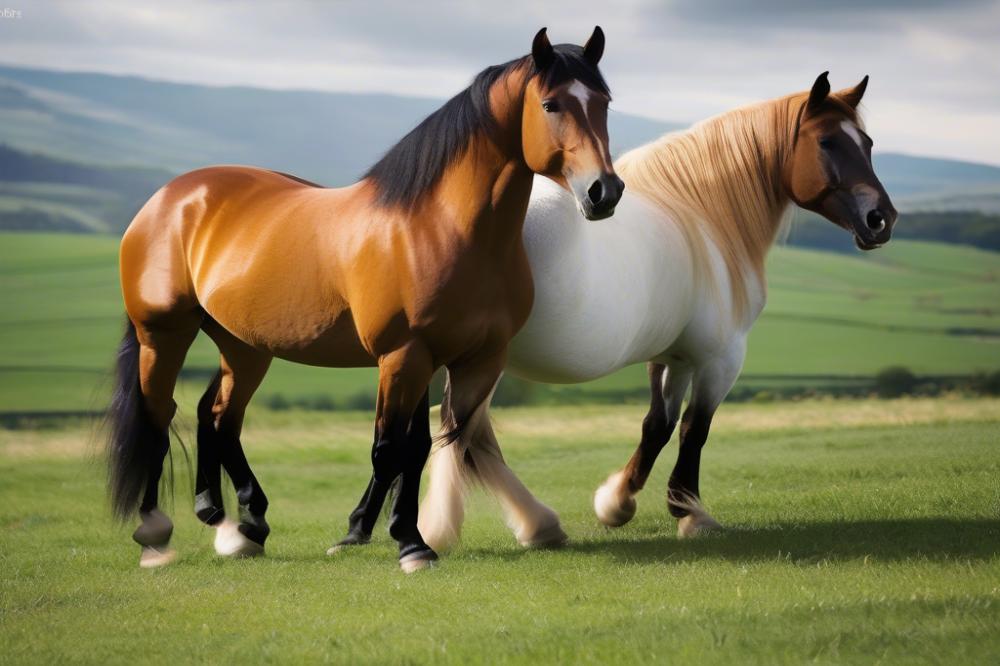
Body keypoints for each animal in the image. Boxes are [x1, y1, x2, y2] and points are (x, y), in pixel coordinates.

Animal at [106, 27, 624, 572]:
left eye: (604, 102)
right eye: (550, 104)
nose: (603, 191)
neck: (440, 227)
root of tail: (169, 198)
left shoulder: (468, 361)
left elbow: (423, 446)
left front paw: (383, 532)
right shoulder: (404, 356)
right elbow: (390, 448)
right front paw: (408, 543)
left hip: (243, 345)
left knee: (219, 417)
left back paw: (238, 523)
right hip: (162, 336)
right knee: (158, 416)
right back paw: (156, 535)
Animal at [416, 72, 898, 551]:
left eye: (868, 142)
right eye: (827, 142)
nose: (881, 219)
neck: (700, 217)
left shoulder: (675, 356)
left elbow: (658, 425)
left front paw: (616, 502)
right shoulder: (720, 359)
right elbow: (694, 428)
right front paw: (689, 513)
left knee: (469, 435)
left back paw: (536, 525)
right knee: (465, 431)